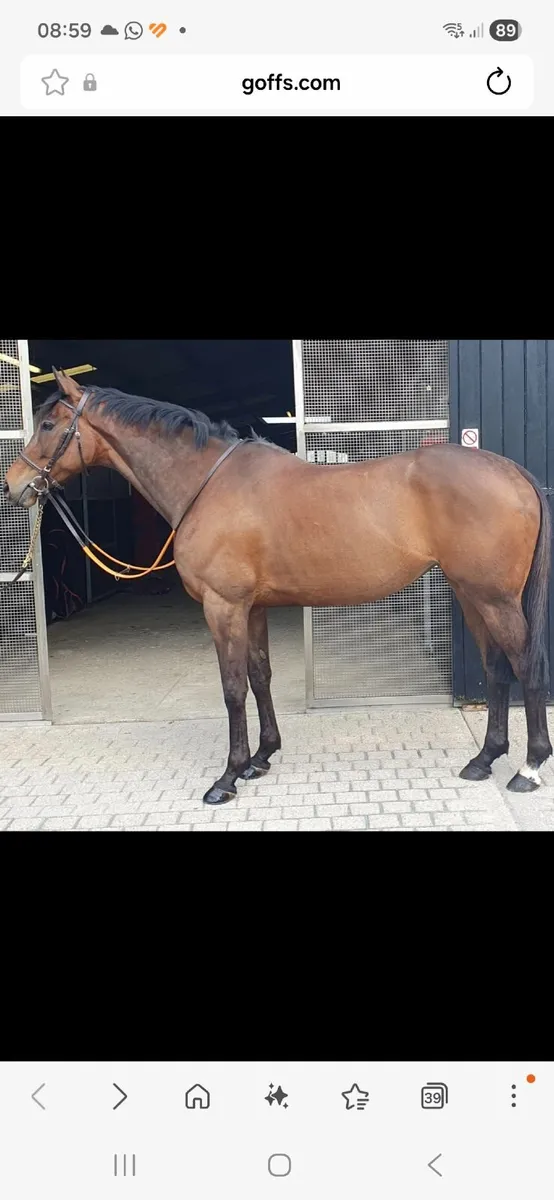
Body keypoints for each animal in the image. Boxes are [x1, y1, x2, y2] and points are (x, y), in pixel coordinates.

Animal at [3, 367, 552, 805]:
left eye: (48, 424)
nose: (14, 486)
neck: (208, 483)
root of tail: (512, 471)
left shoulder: (222, 606)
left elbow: (231, 687)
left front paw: (227, 777)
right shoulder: (252, 607)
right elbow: (259, 675)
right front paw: (261, 757)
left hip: (495, 599)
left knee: (524, 666)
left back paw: (527, 768)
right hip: (471, 594)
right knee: (496, 668)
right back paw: (484, 760)